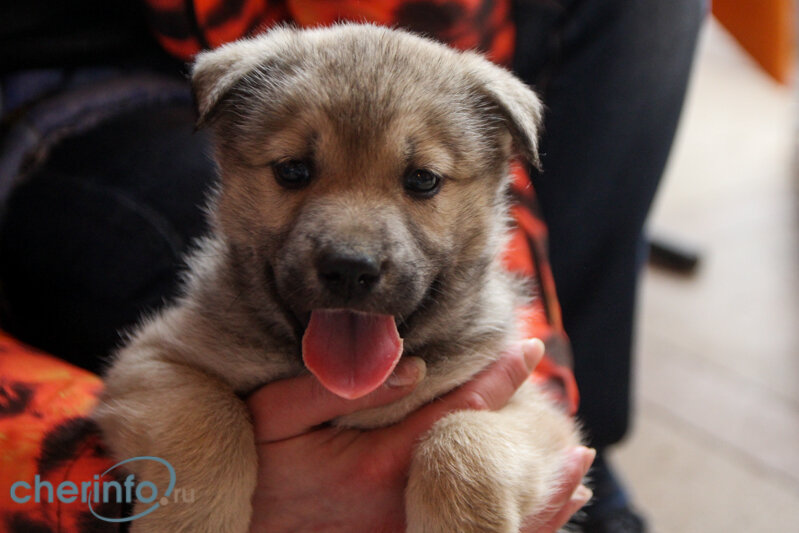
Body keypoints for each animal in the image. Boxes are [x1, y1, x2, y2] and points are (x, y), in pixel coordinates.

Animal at [95, 22, 580, 528]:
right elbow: (210, 414)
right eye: (292, 170)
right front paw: (193, 520)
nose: (350, 269)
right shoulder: (149, 362)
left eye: (423, 179)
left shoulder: (538, 413)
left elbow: (463, 439)